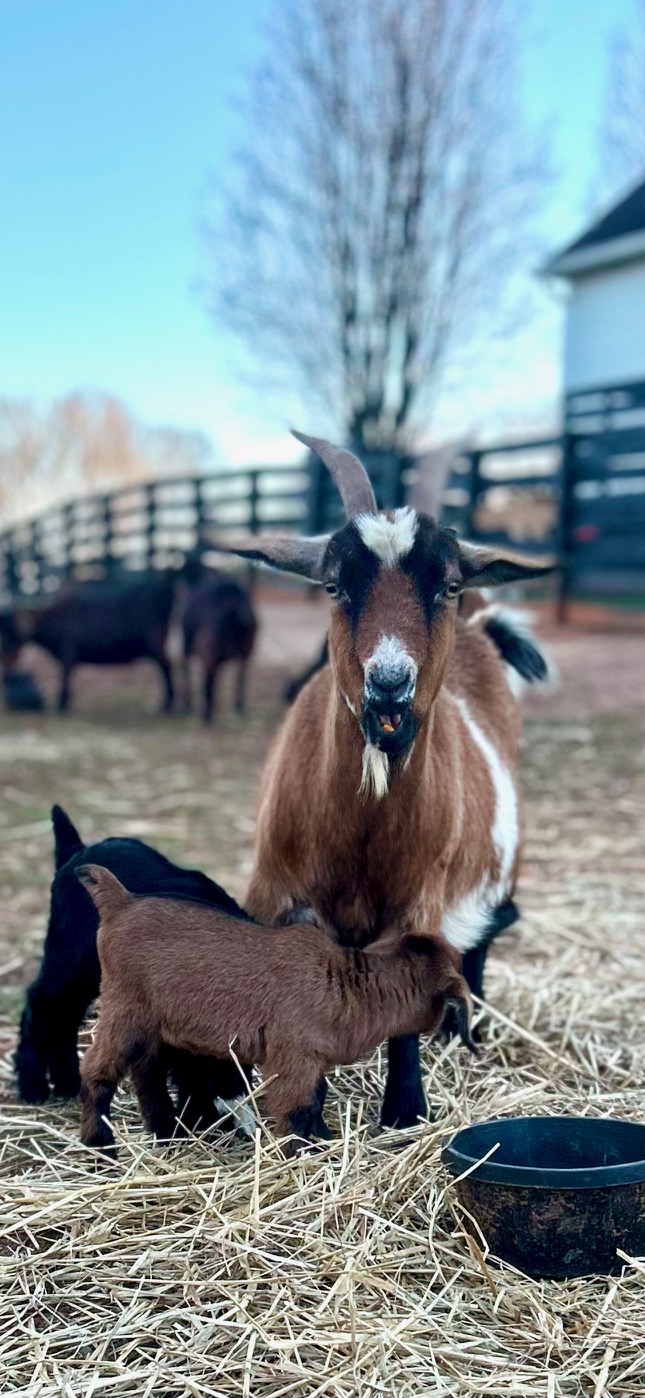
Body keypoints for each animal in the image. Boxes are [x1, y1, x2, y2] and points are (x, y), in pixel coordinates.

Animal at [6, 573, 178, 715]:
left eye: (14, 634)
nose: (6, 663)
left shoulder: (67, 652)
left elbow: (65, 677)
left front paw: (60, 705)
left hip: (156, 645)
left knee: (167, 666)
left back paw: (167, 704)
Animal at [15, 805, 251, 1129]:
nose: (235, 1089)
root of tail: (76, 850)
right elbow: (181, 1071)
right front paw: (191, 1122)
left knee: (66, 1016)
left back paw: (67, 1083)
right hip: (68, 958)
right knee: (40, 1002)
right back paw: (33, 1086)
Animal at [78, 861, 475, 1157]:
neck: (350, 986)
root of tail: (121, 902)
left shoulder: (313, 1058)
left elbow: (317, 1098)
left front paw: (323, 1139)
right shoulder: (293, 1055)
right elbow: (295, 1109)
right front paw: (299, 1155)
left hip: (150, 1022)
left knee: (147, 1071)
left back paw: (166, 1135)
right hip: (124, 1007)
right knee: (97, 1070)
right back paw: (101, 1148)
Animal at [180, 567, 256, 721]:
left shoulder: (188, 647)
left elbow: (187, 670)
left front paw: (188, 704)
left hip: (206, 652)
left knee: (208, 680)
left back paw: (206, 715)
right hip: (246, 651)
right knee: (240, 677)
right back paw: (238, 706)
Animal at [216, 433, 548, 1135]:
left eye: (447, 584)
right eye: (334, 585)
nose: (389, 686)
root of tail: (482, 633)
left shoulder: (419, 902)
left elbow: (412, 1000)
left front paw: (405, 1113)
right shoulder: (274, 894)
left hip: (497, 872)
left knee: (485, 939)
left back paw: (464, 1031)